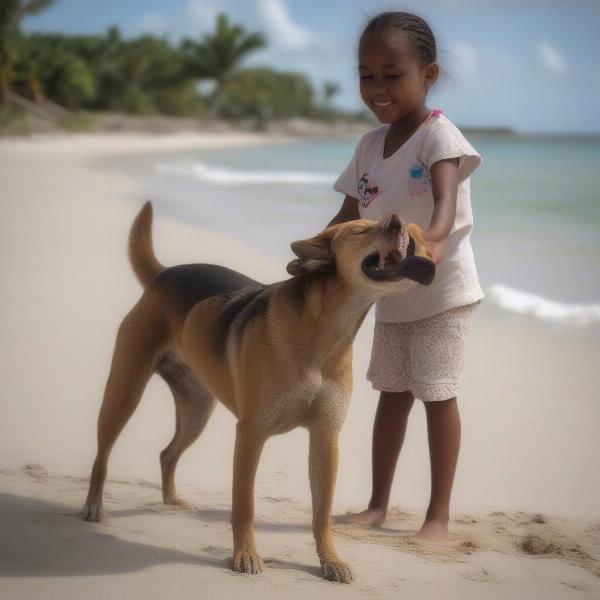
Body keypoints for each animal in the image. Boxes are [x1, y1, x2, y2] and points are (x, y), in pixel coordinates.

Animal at [81, 200, 436, 580]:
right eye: (361, 230)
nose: (401, 222)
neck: (324, 331)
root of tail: (163, 274)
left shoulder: (325, 439)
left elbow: (321, 514)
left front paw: (331, 560)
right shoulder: (251, 435)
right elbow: (244, 505)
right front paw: (246, 556)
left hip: (196, 412)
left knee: (166, 454)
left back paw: (171, 500)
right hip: (125, 392)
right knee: (102, 455)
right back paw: (93, 506)